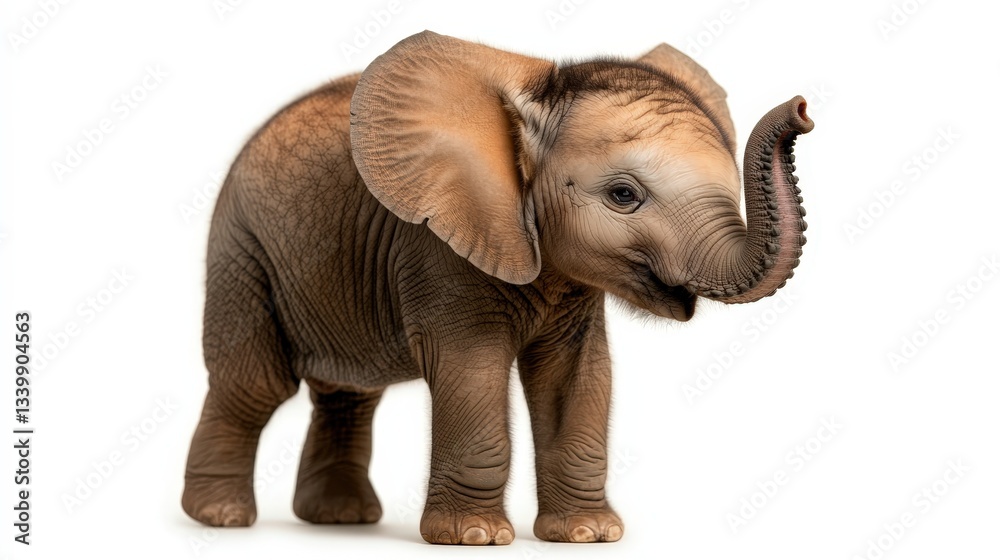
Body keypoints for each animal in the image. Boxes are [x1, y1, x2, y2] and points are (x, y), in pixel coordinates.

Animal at [181, 30, 813, 545]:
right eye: (623, 196)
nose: (803, 108)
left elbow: (576, 377)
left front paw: (588, 535)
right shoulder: (438, 248)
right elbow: (471, 368)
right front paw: (475, 537)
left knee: (349, 390)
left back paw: (341, 519)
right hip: (241, 248)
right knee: (254, 384)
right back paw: (221, 519)